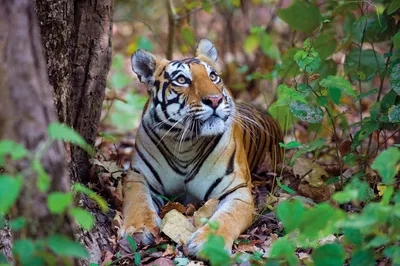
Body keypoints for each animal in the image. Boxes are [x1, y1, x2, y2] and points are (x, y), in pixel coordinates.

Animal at [119, 39, 284, 256]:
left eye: (213, 76)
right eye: (181, 80)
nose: (214, 100)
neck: (185, 144)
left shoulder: (237, 190)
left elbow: (226, 217)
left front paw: (210, 244)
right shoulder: (138, 175)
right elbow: (138, 202)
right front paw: (138, 229)